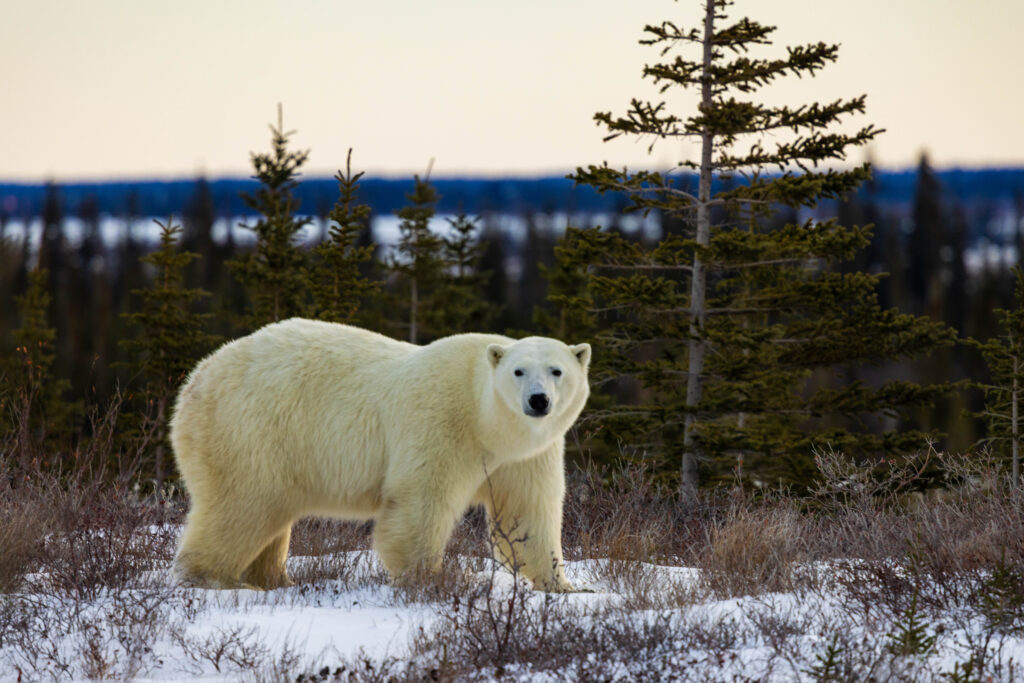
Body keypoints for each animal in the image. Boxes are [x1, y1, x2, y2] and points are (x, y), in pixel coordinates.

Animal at [170, 318, 591, 592]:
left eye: (556, 370)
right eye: (518, 371)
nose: (538, 401)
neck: (485, 420)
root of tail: (197, 378)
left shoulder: (527, 455)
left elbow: (528, 511)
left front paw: (565, 586)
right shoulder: (441, 423)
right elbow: (422, 500)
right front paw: (427, 579)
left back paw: (273, 579)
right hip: (253, 430)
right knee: (244, 505)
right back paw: (217, 579)